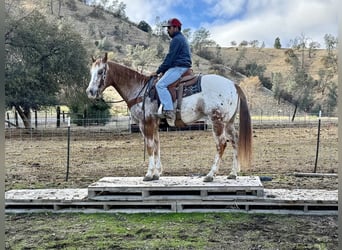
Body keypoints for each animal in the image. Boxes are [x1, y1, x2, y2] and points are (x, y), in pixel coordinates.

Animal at [85, 52, 251, 182]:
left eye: (100, 72)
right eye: (91, 72)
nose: (90, 92)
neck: (140, 89)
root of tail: (233, 84)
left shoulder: (146, 122)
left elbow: (150, 146)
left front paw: (149, 174)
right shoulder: (154, 123)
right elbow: (157, 145)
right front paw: (157, 173)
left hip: (217, 121)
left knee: (221, 144)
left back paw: (210, 175)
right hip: (228, 122)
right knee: (235, 141)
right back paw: (233, 173)